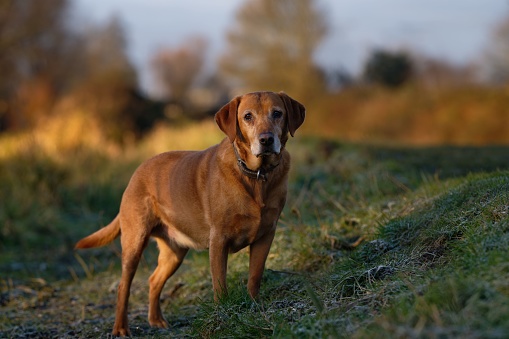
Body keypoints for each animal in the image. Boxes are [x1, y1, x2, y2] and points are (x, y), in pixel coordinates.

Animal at [74, 91, 304, 338]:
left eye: (277, 113)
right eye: (248, 116)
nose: (266, 140)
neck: (256, 176)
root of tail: (137, 171)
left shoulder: (265, 236)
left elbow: (255, 276)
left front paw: (254, 305)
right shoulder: (219, 240)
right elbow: (220, 284)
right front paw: (223, 313)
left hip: (174, 253)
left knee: (154, 281)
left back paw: (156, 320)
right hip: (134, 243)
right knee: (122, 286)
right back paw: (120, 328)